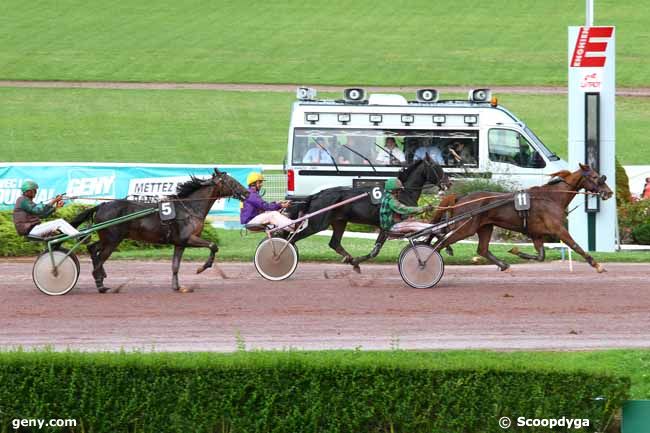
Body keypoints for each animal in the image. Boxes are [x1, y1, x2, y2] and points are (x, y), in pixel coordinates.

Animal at [71, 167, 248, 292]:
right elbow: (213, 246)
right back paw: (100, 284)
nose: (246, 192)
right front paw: (201, 268)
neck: (190, 208)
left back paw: (102, 276)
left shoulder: (179, 243)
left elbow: (175, 265)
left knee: (92, 248)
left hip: (109, 238)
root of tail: (101, 205)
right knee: (100, 257)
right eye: (232, 181)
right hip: (113, 239)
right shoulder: (188, 238)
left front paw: (177, 286)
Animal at [286, 155, 448, 270]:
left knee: (334, 243)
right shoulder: (392, 226)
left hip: (339, 221)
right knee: (292, 239)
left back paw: (350, 259)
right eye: (437, 167)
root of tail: (317, 195)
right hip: (318, 224)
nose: (448, 181)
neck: (402, 193)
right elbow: (376, 250)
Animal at [432, 164, 612, 272]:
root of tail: (460, 198)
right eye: (595, 177)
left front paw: (517, 251)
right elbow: (576, 246)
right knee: (440, 243)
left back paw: (504, 265)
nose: (609, 192)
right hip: (465, 228)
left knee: (481, 249)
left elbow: (541, 256)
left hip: (485, 227)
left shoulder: (537, 234)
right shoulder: (558, 229)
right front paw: (597, 265)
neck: (552, 197)